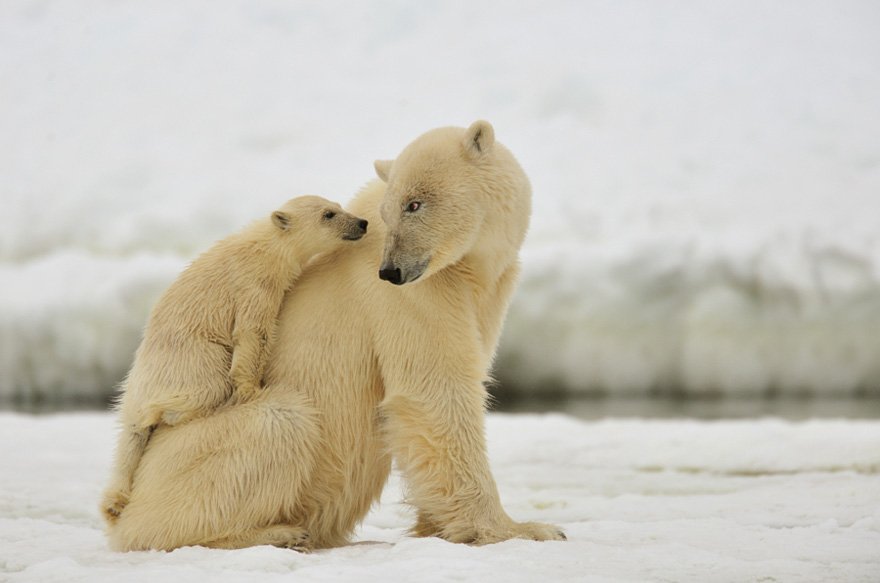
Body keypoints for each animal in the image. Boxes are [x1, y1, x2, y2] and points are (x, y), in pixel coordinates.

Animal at [100, 196, 368, 524]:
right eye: (328, 214)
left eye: (338, 206)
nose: (362, 223)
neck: (267, 245)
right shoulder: (254, 284)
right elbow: (253, 332)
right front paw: (251, 389)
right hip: (192, 359)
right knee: (202, 388)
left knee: (131, 435)